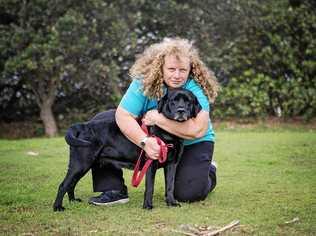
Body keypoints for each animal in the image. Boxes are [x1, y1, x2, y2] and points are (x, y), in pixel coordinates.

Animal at [51, 87, 200, 211]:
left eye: (188, 102)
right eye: (173, 101)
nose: (181, 111)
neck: (167, 133)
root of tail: (82, 126)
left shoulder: (171, 164)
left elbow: (170, 185)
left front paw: (171, 203)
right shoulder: (150, 163)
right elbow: (150, 187)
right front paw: (147, 206)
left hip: (84, 165)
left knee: (71, 184)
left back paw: (73, 201)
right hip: (81, 164)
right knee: (64, 185)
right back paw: (58, 207)